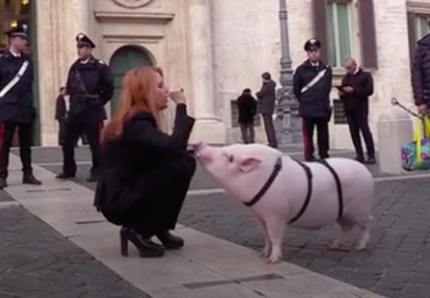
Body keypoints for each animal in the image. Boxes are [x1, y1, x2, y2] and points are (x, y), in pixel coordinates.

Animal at [193, 143, 374, 264]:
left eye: (229, 157)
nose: (197, 144)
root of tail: (367, 173)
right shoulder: (259, 215)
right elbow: (266, 236)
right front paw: (261, 255)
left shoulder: (276, 215)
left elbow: (274, 237)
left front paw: (272, 261)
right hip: (343, 214)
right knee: (347, 228)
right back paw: (333, 246)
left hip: (361, 208)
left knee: (367, 223)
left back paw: (361, 246)